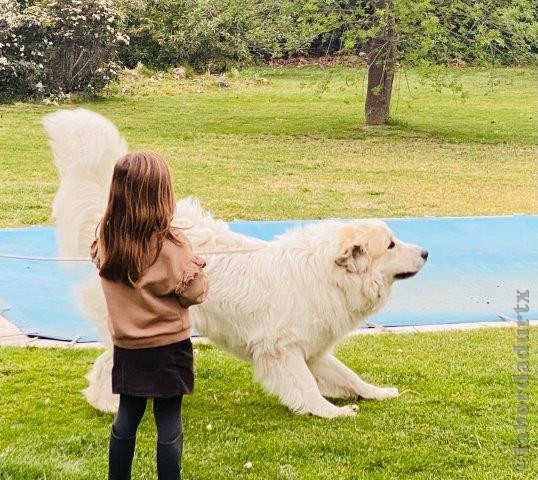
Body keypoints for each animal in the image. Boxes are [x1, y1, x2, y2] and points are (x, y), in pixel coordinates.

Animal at [44, 110, 426, 418]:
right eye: (391, 244)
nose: (426, 252)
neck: (327, 274)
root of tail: (128, 222)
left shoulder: (313, 350)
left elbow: (347, 375)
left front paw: (377, 393)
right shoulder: (281, 349)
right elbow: (305, 386)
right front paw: (329, 412)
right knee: (107, 366)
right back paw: (106, 404)